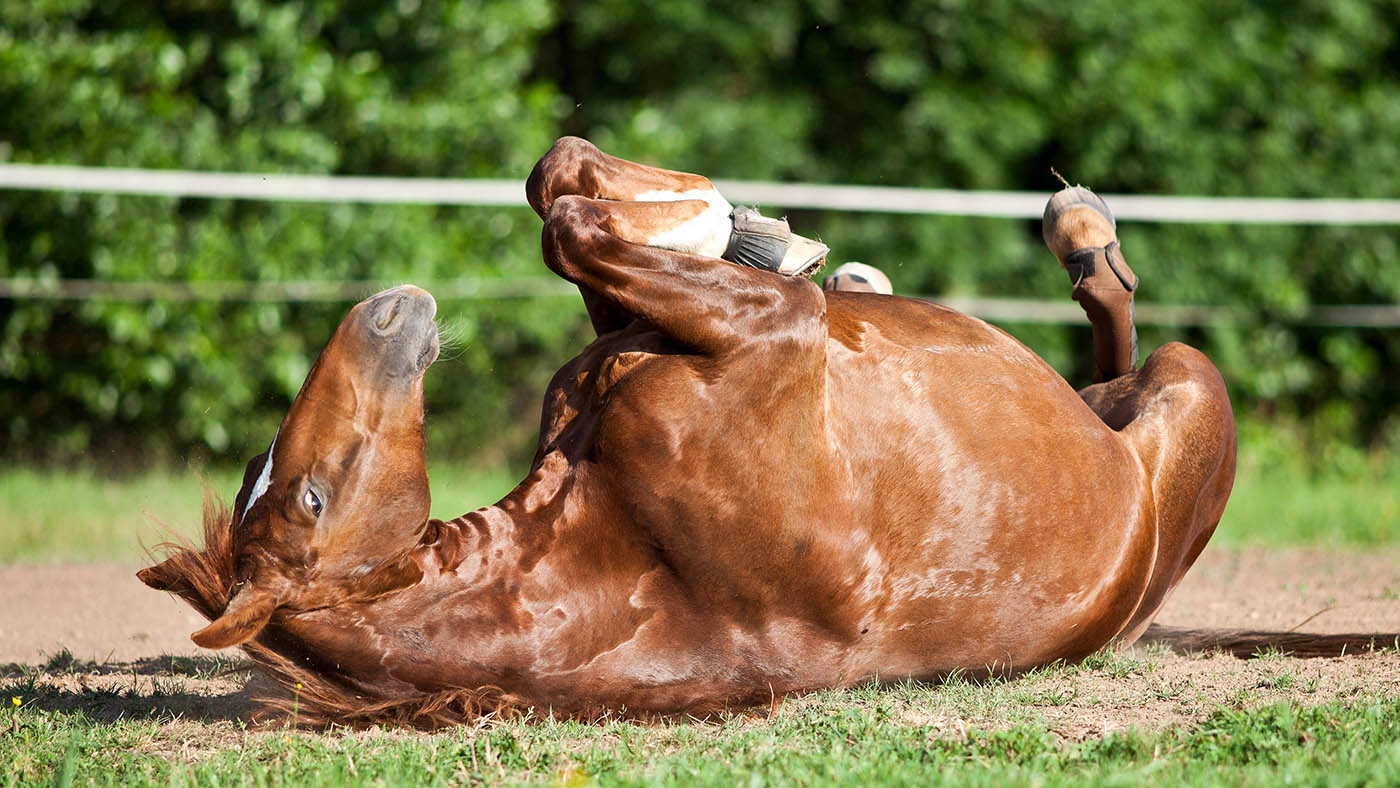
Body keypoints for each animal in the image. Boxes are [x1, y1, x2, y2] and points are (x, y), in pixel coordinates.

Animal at [141, 138, 1245, 726]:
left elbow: (559, 189)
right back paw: (1079, 232)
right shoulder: (770, 334)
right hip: (1188, 386)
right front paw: (739, 228)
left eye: (279, 480)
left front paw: (748, 227)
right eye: (310, 496)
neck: (618, 550)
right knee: (1124, 342)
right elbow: (573, 225)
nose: (386, 310)